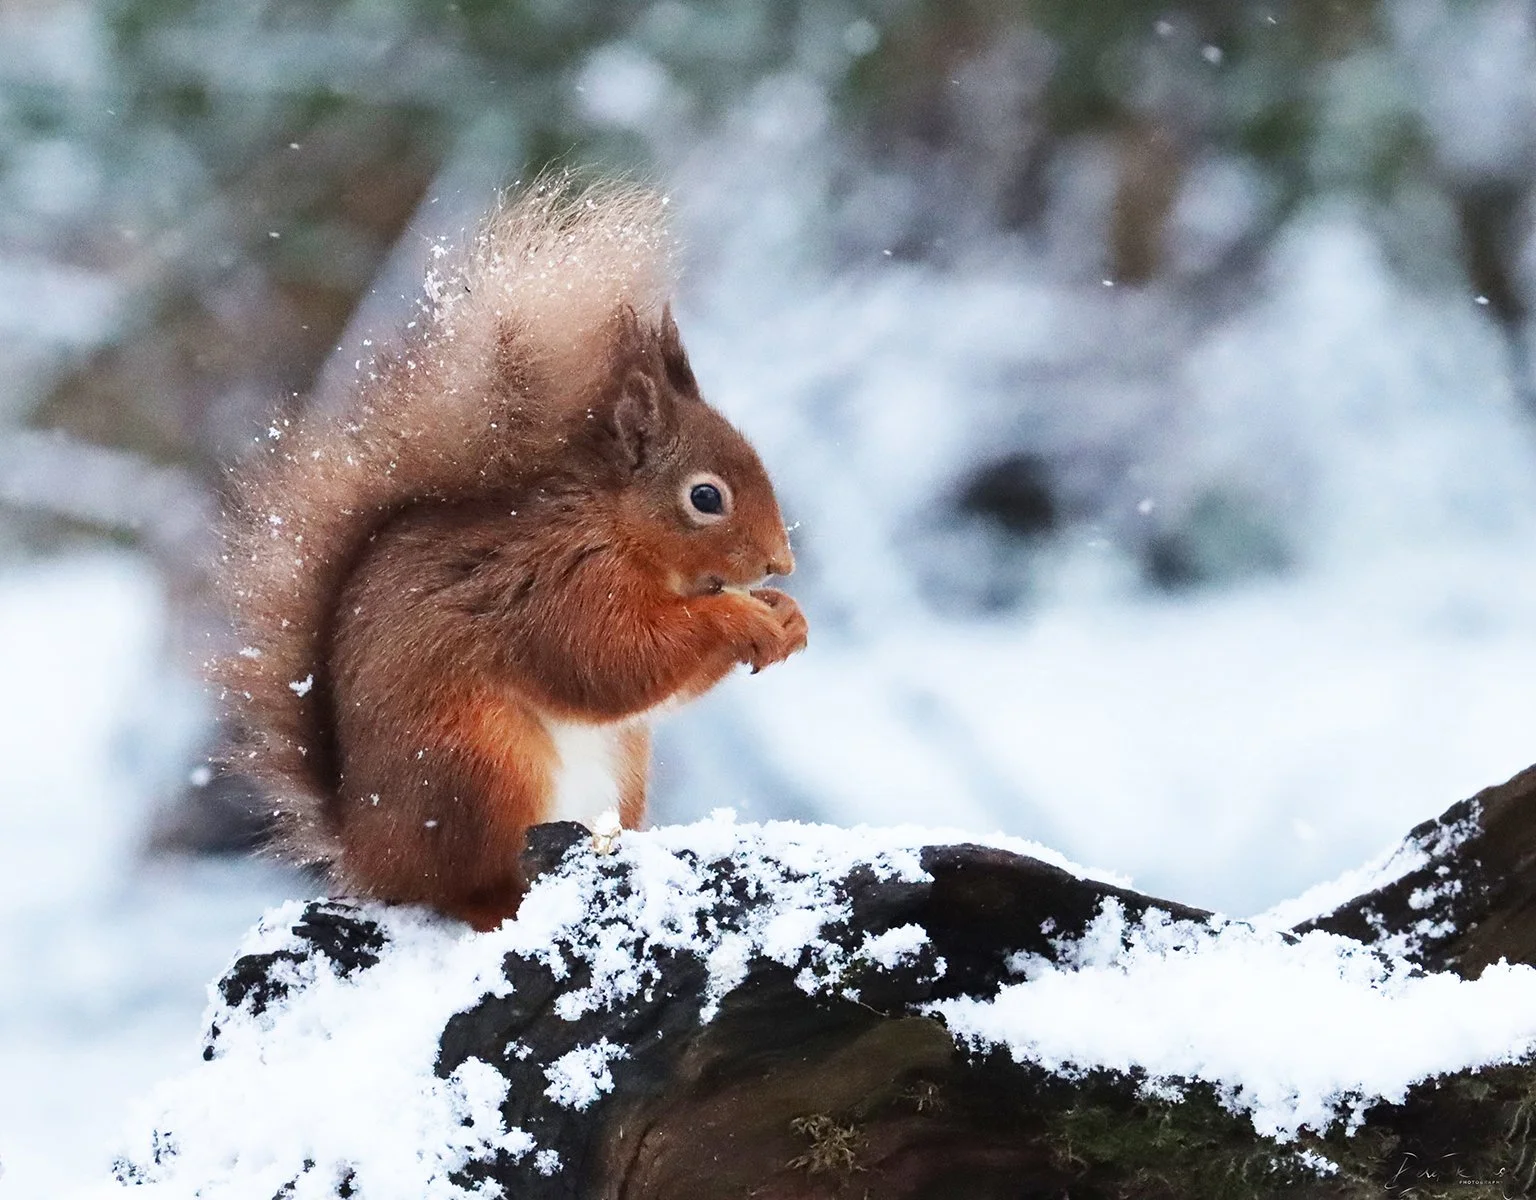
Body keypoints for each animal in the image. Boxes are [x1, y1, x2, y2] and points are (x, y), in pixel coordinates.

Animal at [215, 178, 807, 930]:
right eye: (706, 497)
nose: (780, 564)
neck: (616, 527)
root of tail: (369, 858)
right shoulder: (562, 581)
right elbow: (611, 663)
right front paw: (740, 621)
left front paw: (787, 617)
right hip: (479, 766)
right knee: (462, 889)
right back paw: (502, 899)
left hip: (618, 768)